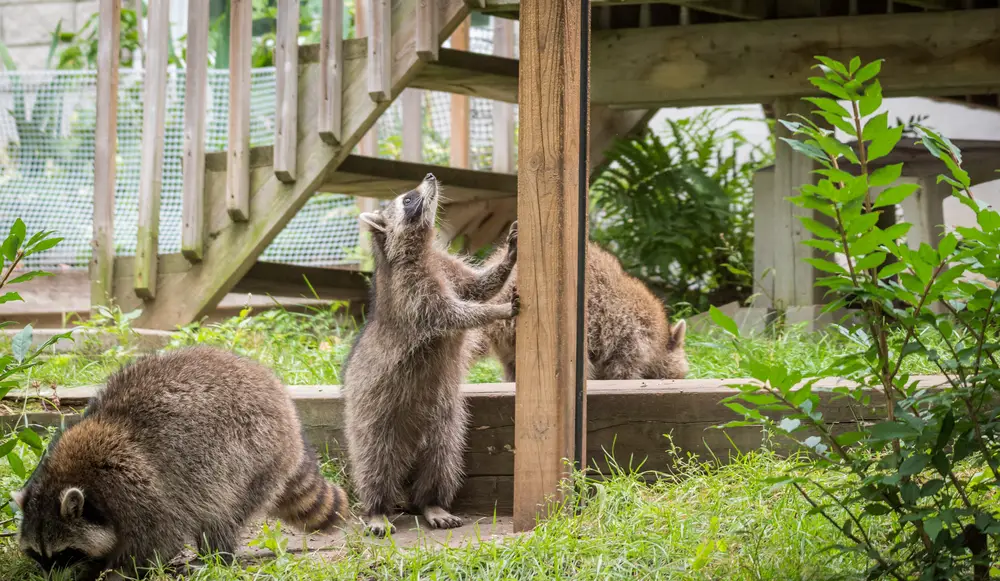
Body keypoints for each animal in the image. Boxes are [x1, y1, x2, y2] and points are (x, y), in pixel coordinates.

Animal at [9, 346, 348, 576]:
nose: (48, 577)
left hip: (255, 453)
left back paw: (214, 556)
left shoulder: (138, 489)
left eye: (64, 554)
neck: (67, 475)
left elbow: (158, 539)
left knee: (223, 511)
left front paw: (115, 571)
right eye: (37, 555)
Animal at [342, 174, 520, 536]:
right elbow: (457, 314)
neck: (420, 249)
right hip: (370, 414)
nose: (430, 176)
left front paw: (508, 258)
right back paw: (377, 507)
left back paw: (432, 502)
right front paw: (495, 311)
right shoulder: (414, 293)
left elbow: (479, 287)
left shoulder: (447, 268)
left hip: (446, 420)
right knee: (373, 461)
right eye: (408, 200)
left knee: (443, 458)